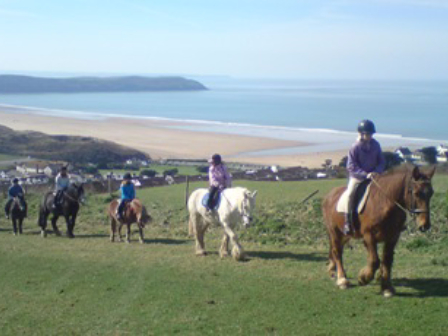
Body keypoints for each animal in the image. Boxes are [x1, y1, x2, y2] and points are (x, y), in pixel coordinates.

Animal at [322, 165, 434, 296]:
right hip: (334, 232)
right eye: (416, 193)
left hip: (345, 235)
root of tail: (329, 195)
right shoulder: (369, 236)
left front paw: (386, 287)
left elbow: (387, 260)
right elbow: (375, 260)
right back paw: (342, 280)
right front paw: (363, 278)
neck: (385, 203)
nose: (425, 225)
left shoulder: (393, 237)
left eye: (431, 193)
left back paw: (333, 270)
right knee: (337, 252)